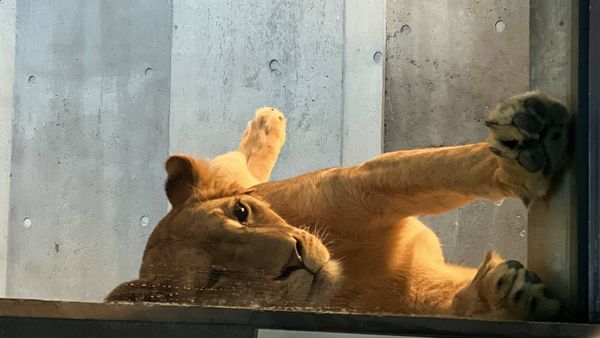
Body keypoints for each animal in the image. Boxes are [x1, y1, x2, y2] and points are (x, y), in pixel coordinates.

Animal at [108, 91, 572, 320]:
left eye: (241, 213)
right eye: (215, 280)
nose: (294, 257)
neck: (347, 268)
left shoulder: (365, 182)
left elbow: (447, 166)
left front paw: (524, 145)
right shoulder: (415, 296)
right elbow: (457, 303)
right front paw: (508, 295)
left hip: (228, 175)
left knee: (236, 163)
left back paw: (267, 121)